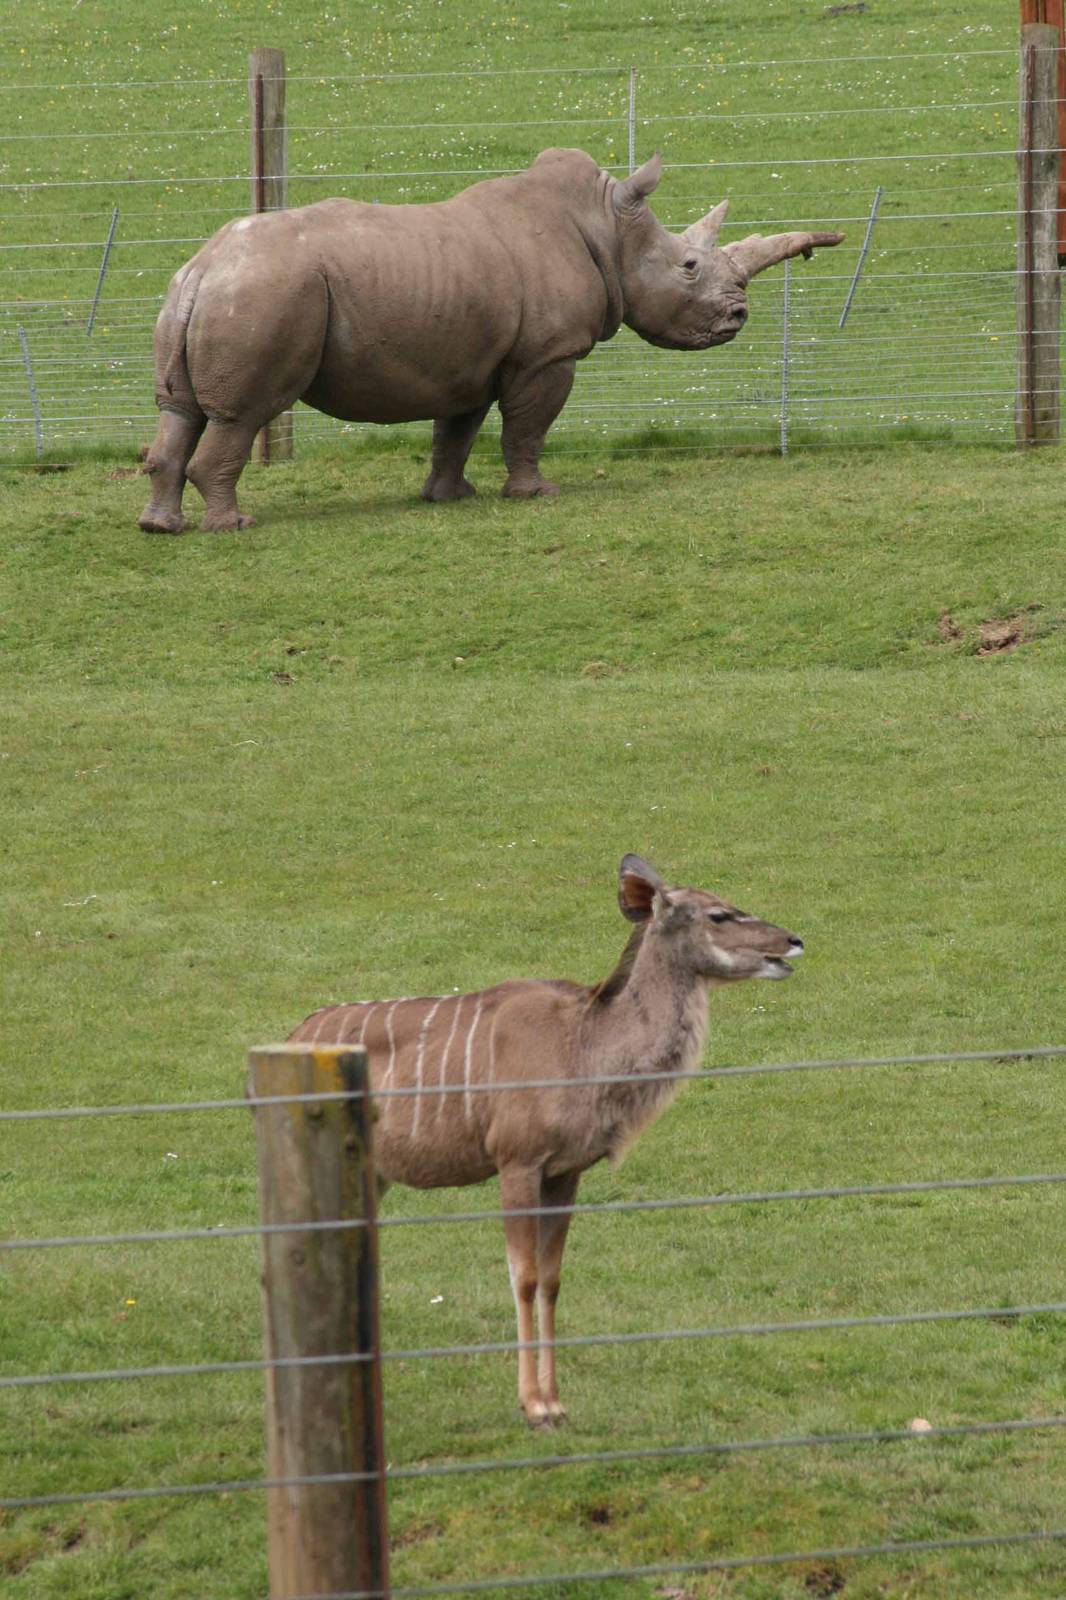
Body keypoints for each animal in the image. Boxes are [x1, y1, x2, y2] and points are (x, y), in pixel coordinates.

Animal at [139, 148, 842, 532]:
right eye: (689, 267)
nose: (738, 318)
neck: (609, 226)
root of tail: (201, 268)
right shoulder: (547, 354)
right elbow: (526, 428)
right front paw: (536, 495)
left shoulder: (468, 359)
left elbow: (458, 432)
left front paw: (449, 499)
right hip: (268, 294)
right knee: (244, 413)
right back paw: (234, 527)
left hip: (206, 296)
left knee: (180, 410)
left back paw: (160, 528)